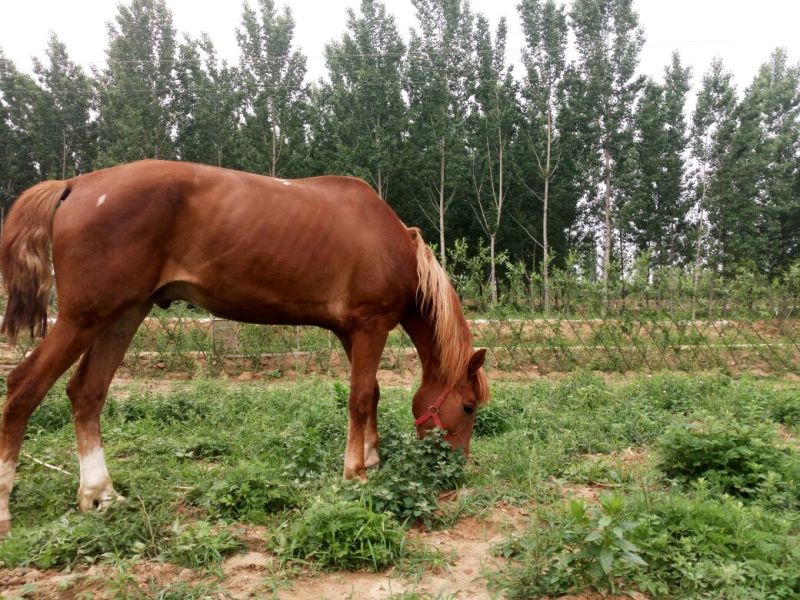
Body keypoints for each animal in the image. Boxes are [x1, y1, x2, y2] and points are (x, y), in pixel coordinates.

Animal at [0, 160, 488, 534]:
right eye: (467, 407)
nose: (459, 468)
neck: (392, 242)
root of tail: (74, 186)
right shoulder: (370, 326)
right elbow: (362, 397)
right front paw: (357, 474)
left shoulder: (352, 333)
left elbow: (371, 396)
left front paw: (371, 457)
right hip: (83, 318)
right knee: (24, 387)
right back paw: (7, 503)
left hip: (124, 315)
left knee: (86, 392)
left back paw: (100, 494)